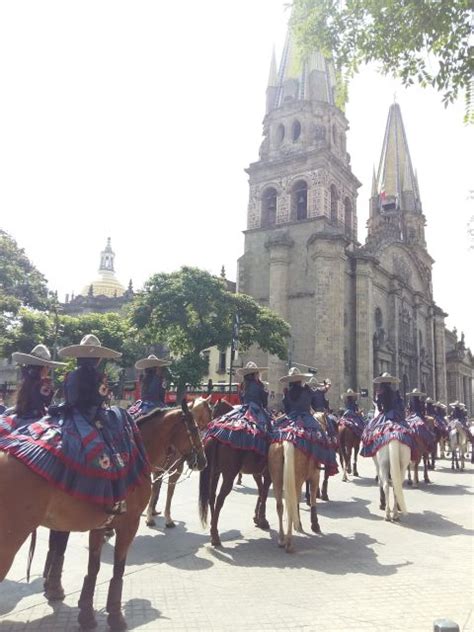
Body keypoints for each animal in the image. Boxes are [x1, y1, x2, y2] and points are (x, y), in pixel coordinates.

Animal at [0, 402, 207, 628]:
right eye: (195, 428)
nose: (203, 461)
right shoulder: (129, 524)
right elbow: (118, 568)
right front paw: (115, 617)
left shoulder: (99, 527)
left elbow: (93, 568)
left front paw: (87, 615)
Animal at [143, 398, 212, 532]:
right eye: (194, 429)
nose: (203, 461)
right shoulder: (164, 471)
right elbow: (157, 492)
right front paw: (150, 518)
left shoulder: (166, 470)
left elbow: (167, 493)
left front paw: (164, 518)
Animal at [198, 400, 270, 548]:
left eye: (214, 412)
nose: (208, 425)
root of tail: (216, 436)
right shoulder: (268, 473)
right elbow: (264, 494)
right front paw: (262, 519)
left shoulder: (257, 473)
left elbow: (261, 492)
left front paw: (257, 517)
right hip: (229, 475)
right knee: (220, 499)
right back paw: (215, 535)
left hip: (215, 472)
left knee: (212, 496)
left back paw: (213, 527)